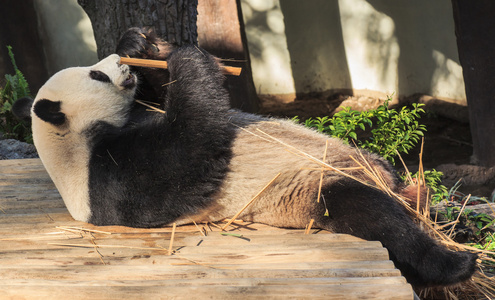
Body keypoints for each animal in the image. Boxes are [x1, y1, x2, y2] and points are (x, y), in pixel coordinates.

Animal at [13, 27, 478, 288]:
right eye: (95, 74)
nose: (116, 63)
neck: (70, 147)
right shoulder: (106, 178)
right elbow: (189, 154)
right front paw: (186, 56)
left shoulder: (134, 120)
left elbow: (165, 102)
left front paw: (141, 46)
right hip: (305, 191)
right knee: (372, 212)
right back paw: (454, 261)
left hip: (363, 161)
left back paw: (439, 209)